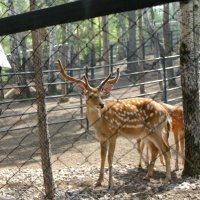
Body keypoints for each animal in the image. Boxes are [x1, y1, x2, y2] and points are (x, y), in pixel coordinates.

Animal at [55, 59, 171, 188]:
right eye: (90, 96)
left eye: (101, 95)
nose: (101, 104)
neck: (100, 124)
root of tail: (166, 113)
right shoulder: (101, 138)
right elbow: (102, 157)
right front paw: (98, 181)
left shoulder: (113, 134)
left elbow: (110, 158)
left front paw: (110, 183)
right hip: (147, 133)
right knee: (155, 150)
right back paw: (147, 176)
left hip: (155, 129)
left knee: (166, 149)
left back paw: (167, 179)